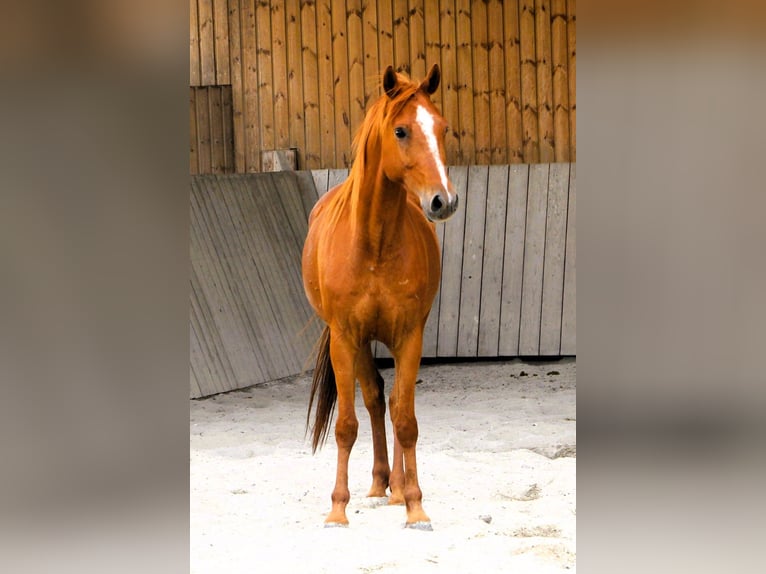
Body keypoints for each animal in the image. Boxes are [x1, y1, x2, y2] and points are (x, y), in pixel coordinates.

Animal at [302, 64, 458, 529]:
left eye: (442, 128)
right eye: (401, 130)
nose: (443, 201)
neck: (373, 244)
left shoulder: (409, 335)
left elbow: (405, 419)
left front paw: (415, 506)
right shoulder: (345, 337)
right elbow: (347, 424)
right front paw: (337, 509)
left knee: (391, 402)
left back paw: (397, 488)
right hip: (357, 344)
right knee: (372, 398)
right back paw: (377, 483)